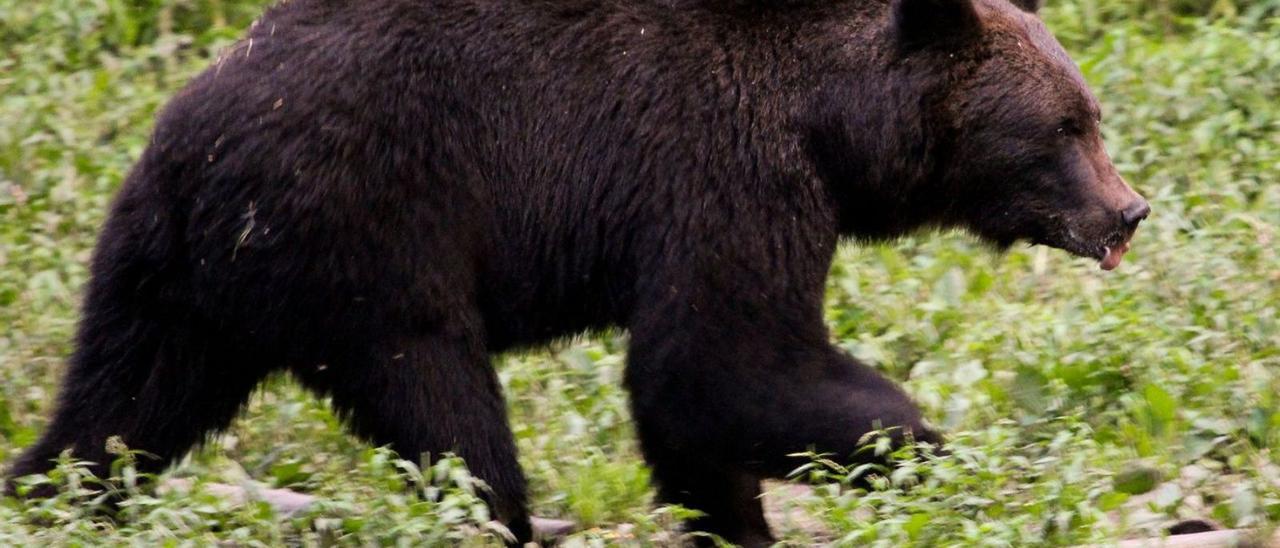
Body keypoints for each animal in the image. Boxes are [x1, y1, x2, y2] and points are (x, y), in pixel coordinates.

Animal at [6, 0, 1150, 545]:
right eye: (1064, 126)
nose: (1126, 209)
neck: (830, 125)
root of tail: (192, 159)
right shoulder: (720, 172)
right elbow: (721, 363)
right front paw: (925, 450)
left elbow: (700, 405)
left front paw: (735, 519)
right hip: (373, 242)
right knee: (448, 414)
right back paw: (511, 522)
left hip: (168, 282)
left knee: (115, 412)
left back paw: (47, 494)